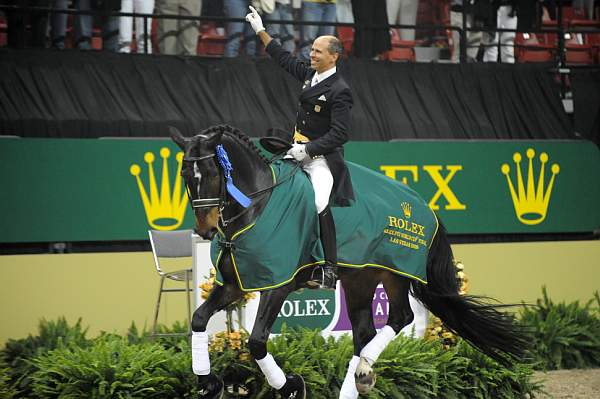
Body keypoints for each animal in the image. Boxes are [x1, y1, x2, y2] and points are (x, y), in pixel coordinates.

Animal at [171, 125, 528, 399]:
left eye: (214, 173)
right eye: (186, 174)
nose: (204, 230)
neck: (257, 205)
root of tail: (424, 206)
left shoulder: (278, 286)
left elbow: (257, 342)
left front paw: (292, 386)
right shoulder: (234, 284)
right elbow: (199, 320)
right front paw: (209, 383)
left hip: (394, 273)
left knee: (401, 317)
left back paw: (365, 371)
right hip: (360, 279)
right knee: (365, 332)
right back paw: (358, 379)